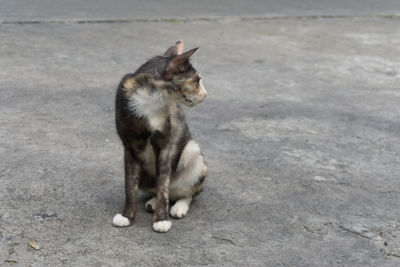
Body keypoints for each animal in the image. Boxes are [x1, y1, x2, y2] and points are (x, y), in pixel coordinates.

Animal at [111, 40, 208, 233]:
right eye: (197, 80)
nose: (205, 94)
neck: (152, 100)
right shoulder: (129, 146)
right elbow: (129, 184)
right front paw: (127, 216)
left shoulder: (165, 145)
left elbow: (163, 184)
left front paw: (161, 220)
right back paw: (153, 202)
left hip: (192, 151)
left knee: (186, 191)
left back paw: (178, 206)